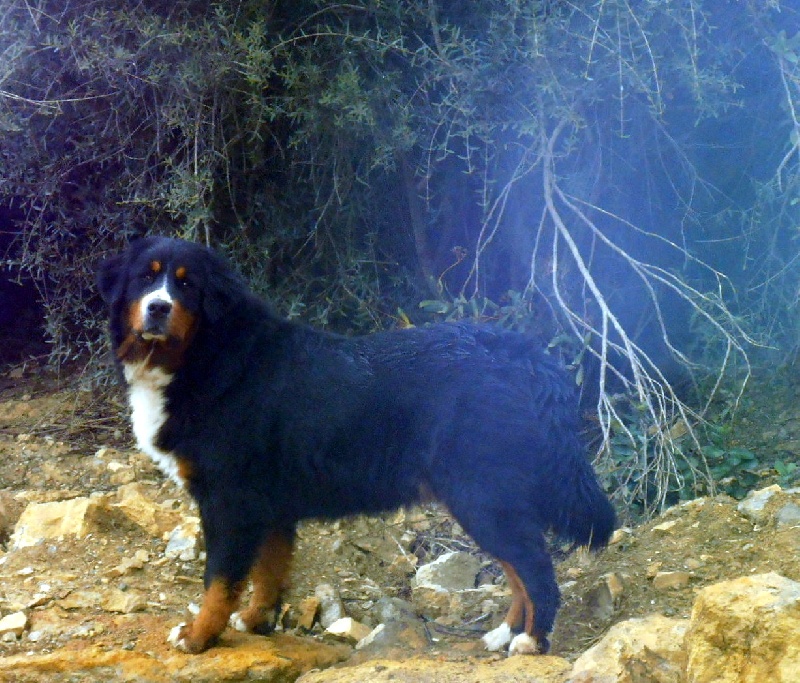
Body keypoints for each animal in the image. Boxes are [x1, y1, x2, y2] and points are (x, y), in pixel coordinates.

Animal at [96, 236, 615, 655]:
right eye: (146, 278)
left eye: (187, 286)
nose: (158, 308)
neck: (209, 357)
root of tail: (523, 354)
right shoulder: (270, 507)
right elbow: (268, 574)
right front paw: (257, 622)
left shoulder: (229, 502)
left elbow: (219, 582)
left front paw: (200, 636)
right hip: (485, 499)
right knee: (519, 570)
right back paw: (505, 633)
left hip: (483, 497)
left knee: (536, 570)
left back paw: (531, 640)